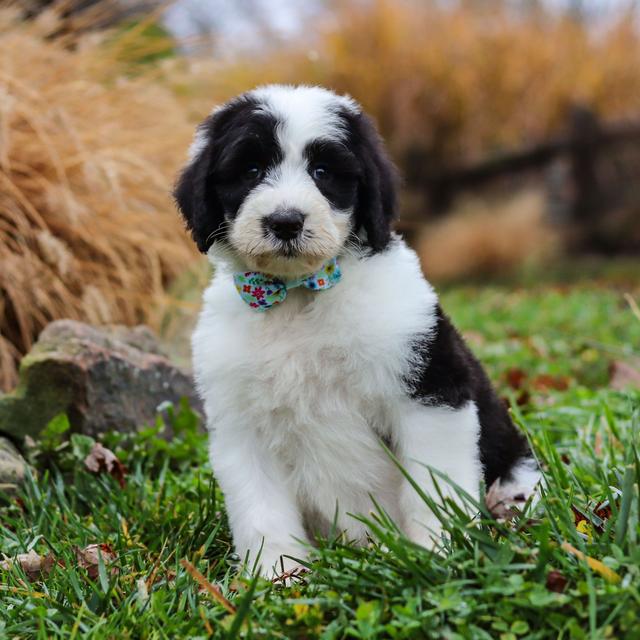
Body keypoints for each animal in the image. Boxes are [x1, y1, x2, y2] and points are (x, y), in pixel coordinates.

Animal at [172, 82, 536, 576]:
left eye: (323, 171)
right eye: (250, 170)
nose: (285, 221)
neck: (299, 297)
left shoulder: (428, 391)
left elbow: (432, 485)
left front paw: (436, 554)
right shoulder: (241, 424)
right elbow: (261, 510)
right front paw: (278, 578)